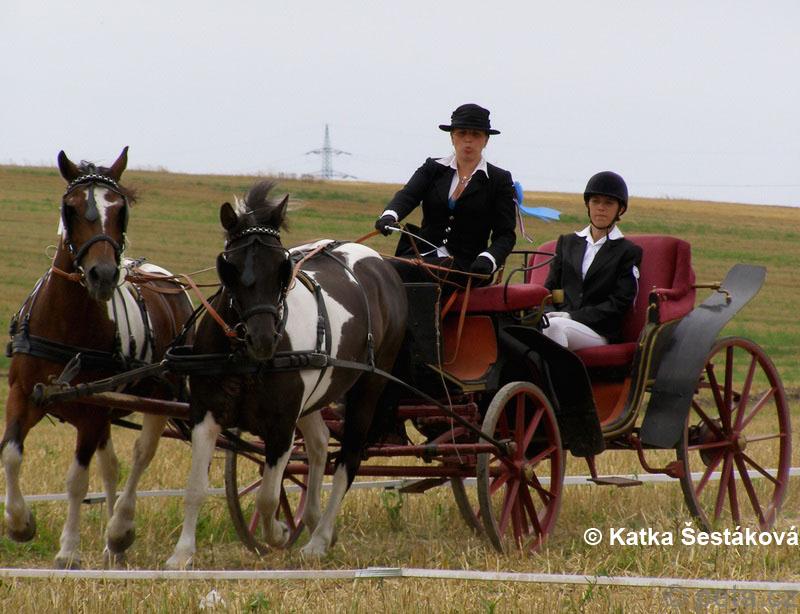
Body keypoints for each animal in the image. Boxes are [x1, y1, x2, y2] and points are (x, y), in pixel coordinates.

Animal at [2, 148, 194, 568]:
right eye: (70, 207)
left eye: (120, 209)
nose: (102, 275)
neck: (64, 319)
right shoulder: (22, 395)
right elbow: (10, 455)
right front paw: (20, 523)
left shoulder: (90, 413)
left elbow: (77, 480)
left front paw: (68, 550)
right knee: (112, 466)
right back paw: (113, 548)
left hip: (159, 396)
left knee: (139, 457)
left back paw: (120, 529)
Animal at [166, 180, 408, 567]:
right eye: (229, 266)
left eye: (282, 266)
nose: (263, 339)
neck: (244, 358)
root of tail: (377, 262)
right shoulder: (205, 413)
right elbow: (195, 488)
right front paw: (183, 554)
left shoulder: (281, 424)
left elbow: (267, 494)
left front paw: (278, 533)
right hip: (315, 391)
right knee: (320, 444)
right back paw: (314, 521)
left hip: (368, 388)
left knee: (347, 461)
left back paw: (319, 539)